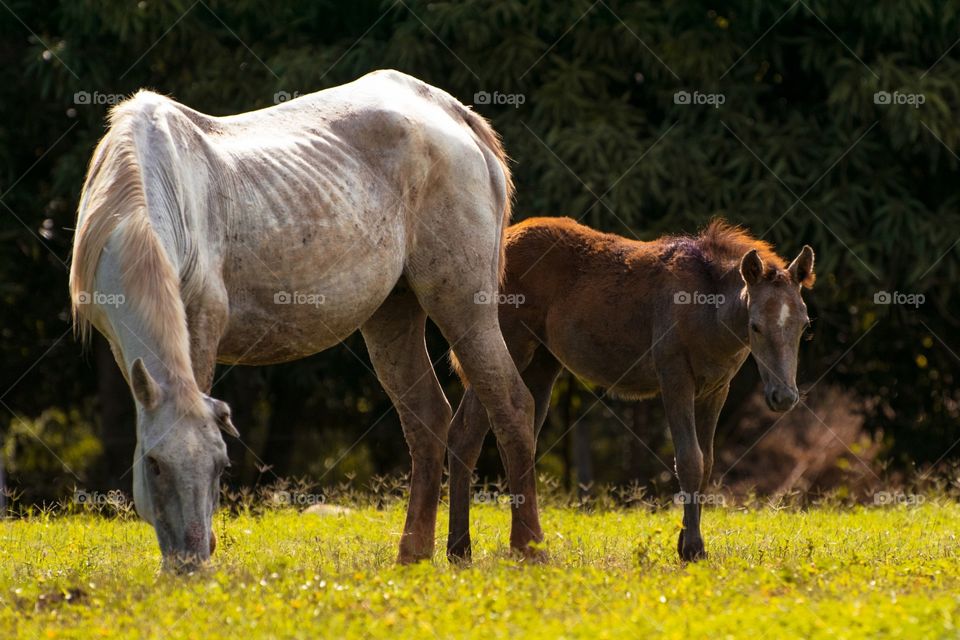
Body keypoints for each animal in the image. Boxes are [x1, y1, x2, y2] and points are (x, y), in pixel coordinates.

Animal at [71, 70, 544, 568]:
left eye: (221, 465)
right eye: (154, 465)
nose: (191, 562)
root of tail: (451, 112)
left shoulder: (201, 324)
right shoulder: (124, 349)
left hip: (462, 305)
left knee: (512, 404)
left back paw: (528, 548)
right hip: (393, 314)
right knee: (429, 420)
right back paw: (414, 555)